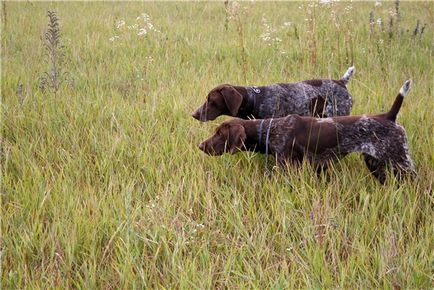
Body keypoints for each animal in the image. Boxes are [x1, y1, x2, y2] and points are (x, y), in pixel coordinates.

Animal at [200, 79, 418, 184]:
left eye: (219, 134)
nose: (201, 146)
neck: (269, 129)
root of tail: (388, 116)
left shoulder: (287, 168)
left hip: (402, 162)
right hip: (376, 164)